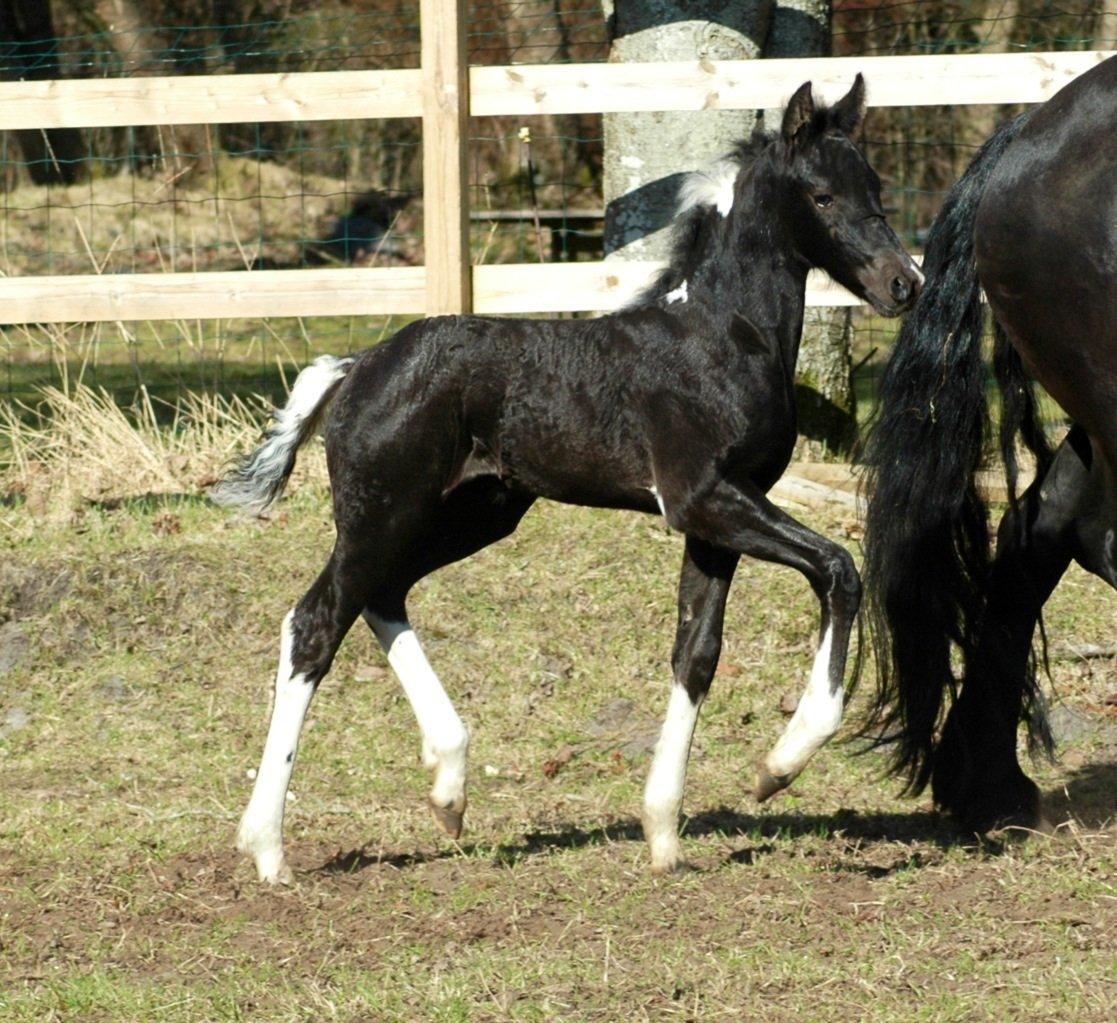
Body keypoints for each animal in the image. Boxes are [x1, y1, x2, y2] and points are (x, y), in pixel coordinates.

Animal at [213, 75, 920, 884]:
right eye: (821, 196)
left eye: (874, 187)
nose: (905, 283)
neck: (719, 335)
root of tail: (359, 364)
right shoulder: (701, 499)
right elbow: (837, 567)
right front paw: (779, 765)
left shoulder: (719, 520)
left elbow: (696, 653)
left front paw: (663, 831)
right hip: (383, 511)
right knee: (315, 622)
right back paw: (268, 846)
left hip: (477, 511)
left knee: (381, 597)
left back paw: (449, 785)